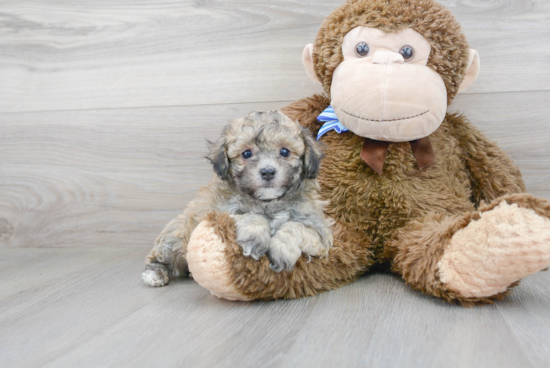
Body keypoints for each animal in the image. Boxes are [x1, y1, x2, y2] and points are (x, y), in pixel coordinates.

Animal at [142, 110, 332, 288]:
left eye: (284, 151)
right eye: (246, 154)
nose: (267, 171)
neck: (268, 203)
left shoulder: (319, 231)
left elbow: (295, 227)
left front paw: (282, 251)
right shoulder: (218, 214)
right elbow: (250, 215)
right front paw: (255, 238)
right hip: (178, 235)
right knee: (162, 254)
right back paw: (154, 273)